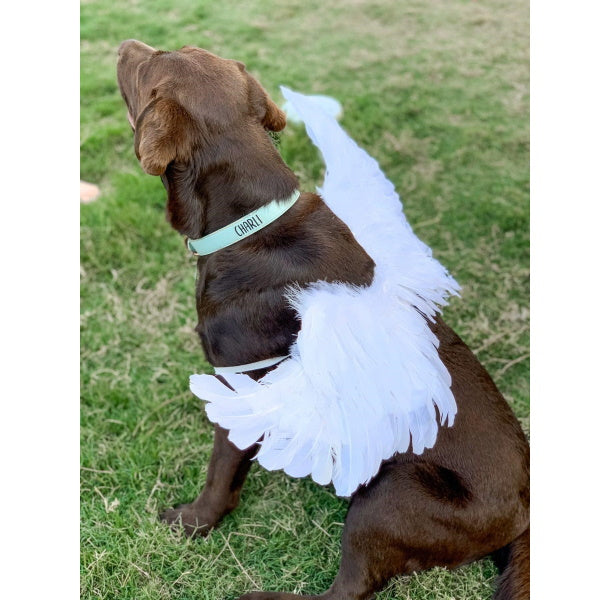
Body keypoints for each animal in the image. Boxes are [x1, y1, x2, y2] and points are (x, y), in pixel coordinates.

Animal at [115, 39, 528, 596]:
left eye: (149, 65)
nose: (125, 45)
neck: (248, 225)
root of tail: (524, 515)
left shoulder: (242, 384)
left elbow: (220, 474)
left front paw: (192, 522)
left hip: (390, 495)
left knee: (350, 587)